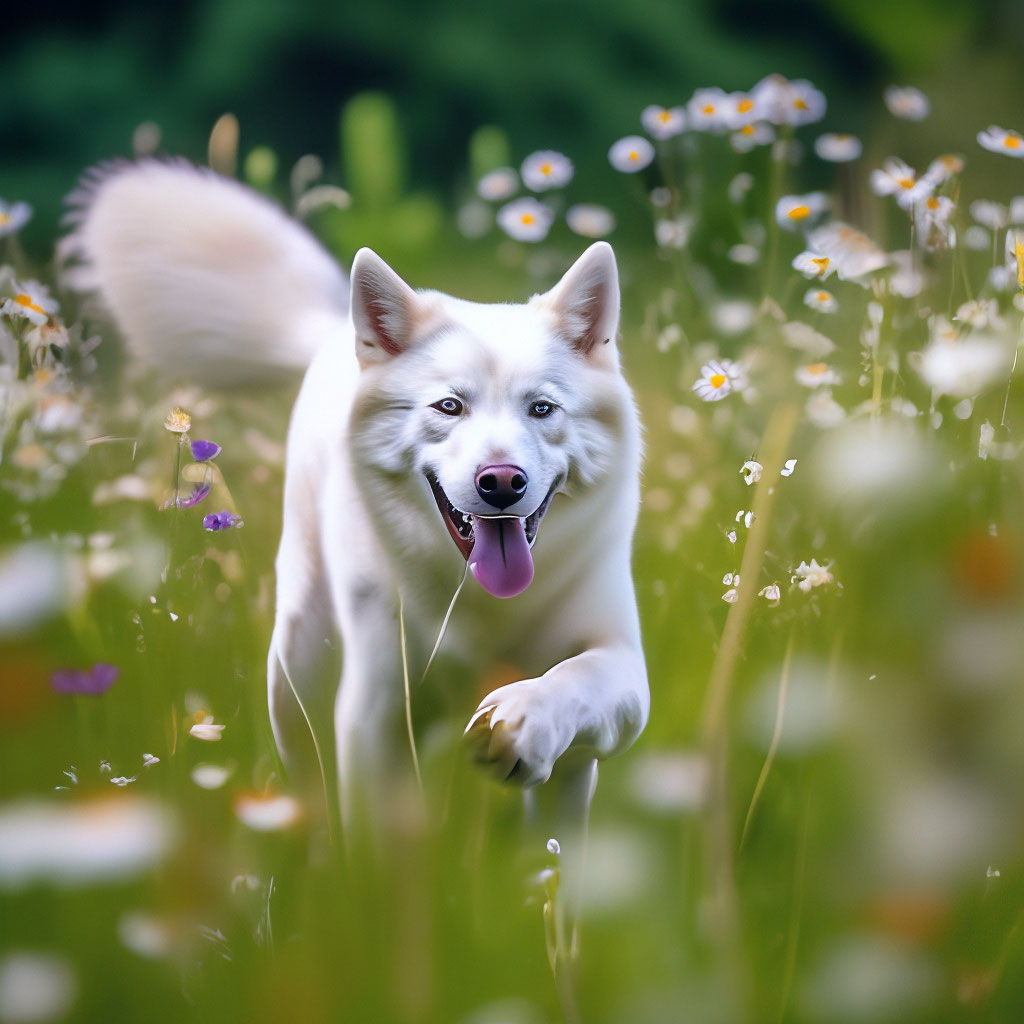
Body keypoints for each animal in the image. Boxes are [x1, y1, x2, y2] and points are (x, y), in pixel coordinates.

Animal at [64, 159, 647, 843]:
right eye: (449, 406)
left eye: (543, 409)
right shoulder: (376, 715)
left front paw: (521, 723)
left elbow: (574, 684)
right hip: (295, 666)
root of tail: (333, 337)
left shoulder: (622, 672)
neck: (479, 607)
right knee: (312, 785)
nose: (502, 482)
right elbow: (380, 840)